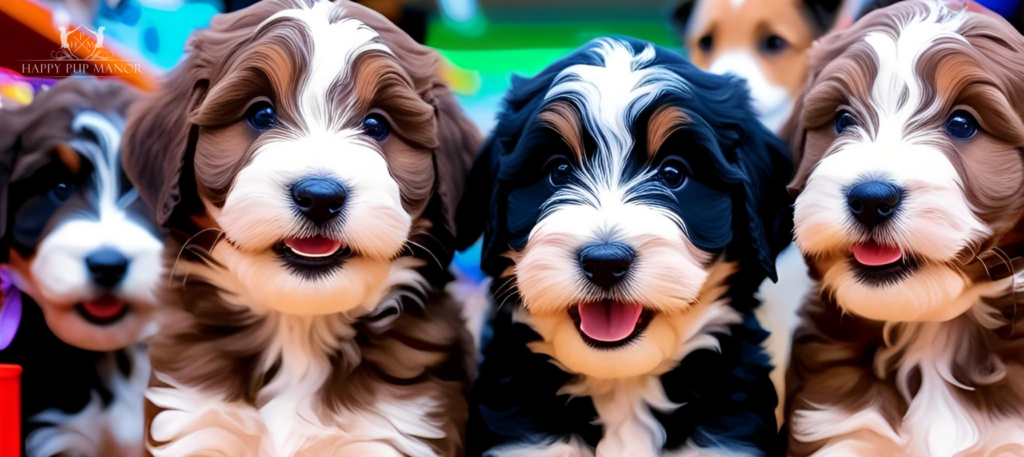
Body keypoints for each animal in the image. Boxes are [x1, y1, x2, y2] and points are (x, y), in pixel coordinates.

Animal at [121, 0, 481, 457]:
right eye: (261, 114)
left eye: (377, 125)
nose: (320, 196)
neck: (299, 329)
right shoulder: (193, 420)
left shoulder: (395, 429)